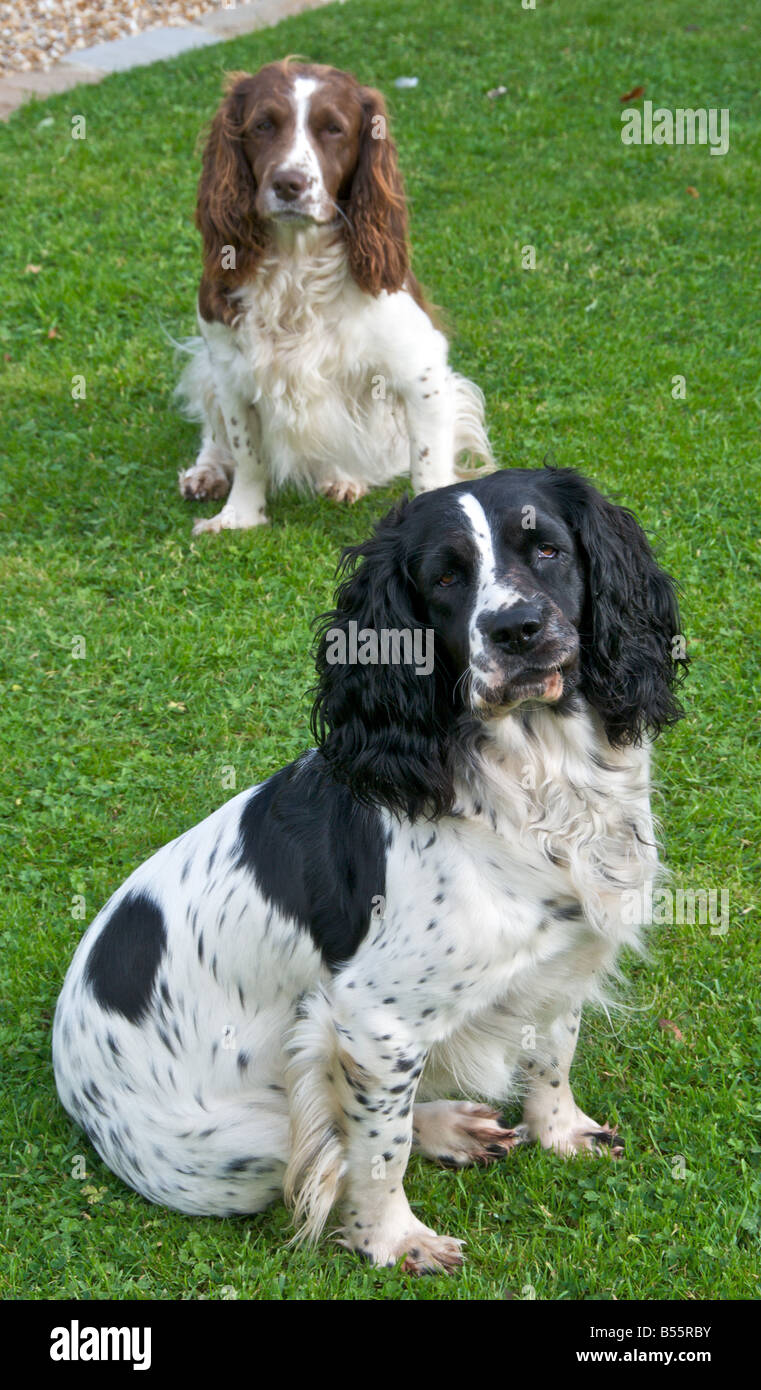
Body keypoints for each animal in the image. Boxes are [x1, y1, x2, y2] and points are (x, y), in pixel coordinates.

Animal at [53, 467, 684, 1273]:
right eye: (445, 577)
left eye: (545, 548)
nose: (516, 630)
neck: (536, 782)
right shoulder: (373, 1022)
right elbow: (377, 1153)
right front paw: (393, 1240)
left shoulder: (561, 956)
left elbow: (553, 1054)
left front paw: (561, 1133)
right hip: (234, 1151)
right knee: (329, 1140)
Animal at [175, 58, 492, 530]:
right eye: (263, 125)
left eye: (334, 129)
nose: (289, 184)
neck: (296, 265)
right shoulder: (229, 369)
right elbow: (247, 454)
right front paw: (239, 516)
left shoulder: (422, 370)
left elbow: (429, 466)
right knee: (215, 434)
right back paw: (207, 471)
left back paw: (343, 478)